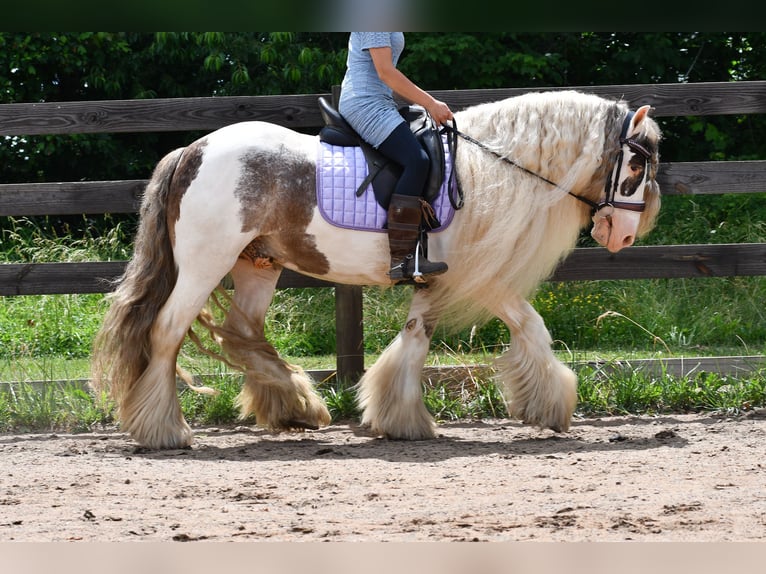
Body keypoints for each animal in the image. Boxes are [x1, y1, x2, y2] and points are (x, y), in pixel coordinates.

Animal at [90, 89, 662, 449]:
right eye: (635, 165)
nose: (626, 236)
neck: (493, 170)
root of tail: (193, 148)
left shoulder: (435, 276)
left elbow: (415, 337)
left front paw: (398, 416)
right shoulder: (481, 276)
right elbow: (532, 327)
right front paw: (551, 405)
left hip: (258, 266)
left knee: (241, 333)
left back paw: (296, 406)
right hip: (204, 266)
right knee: (166, 333)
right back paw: (164, 430)